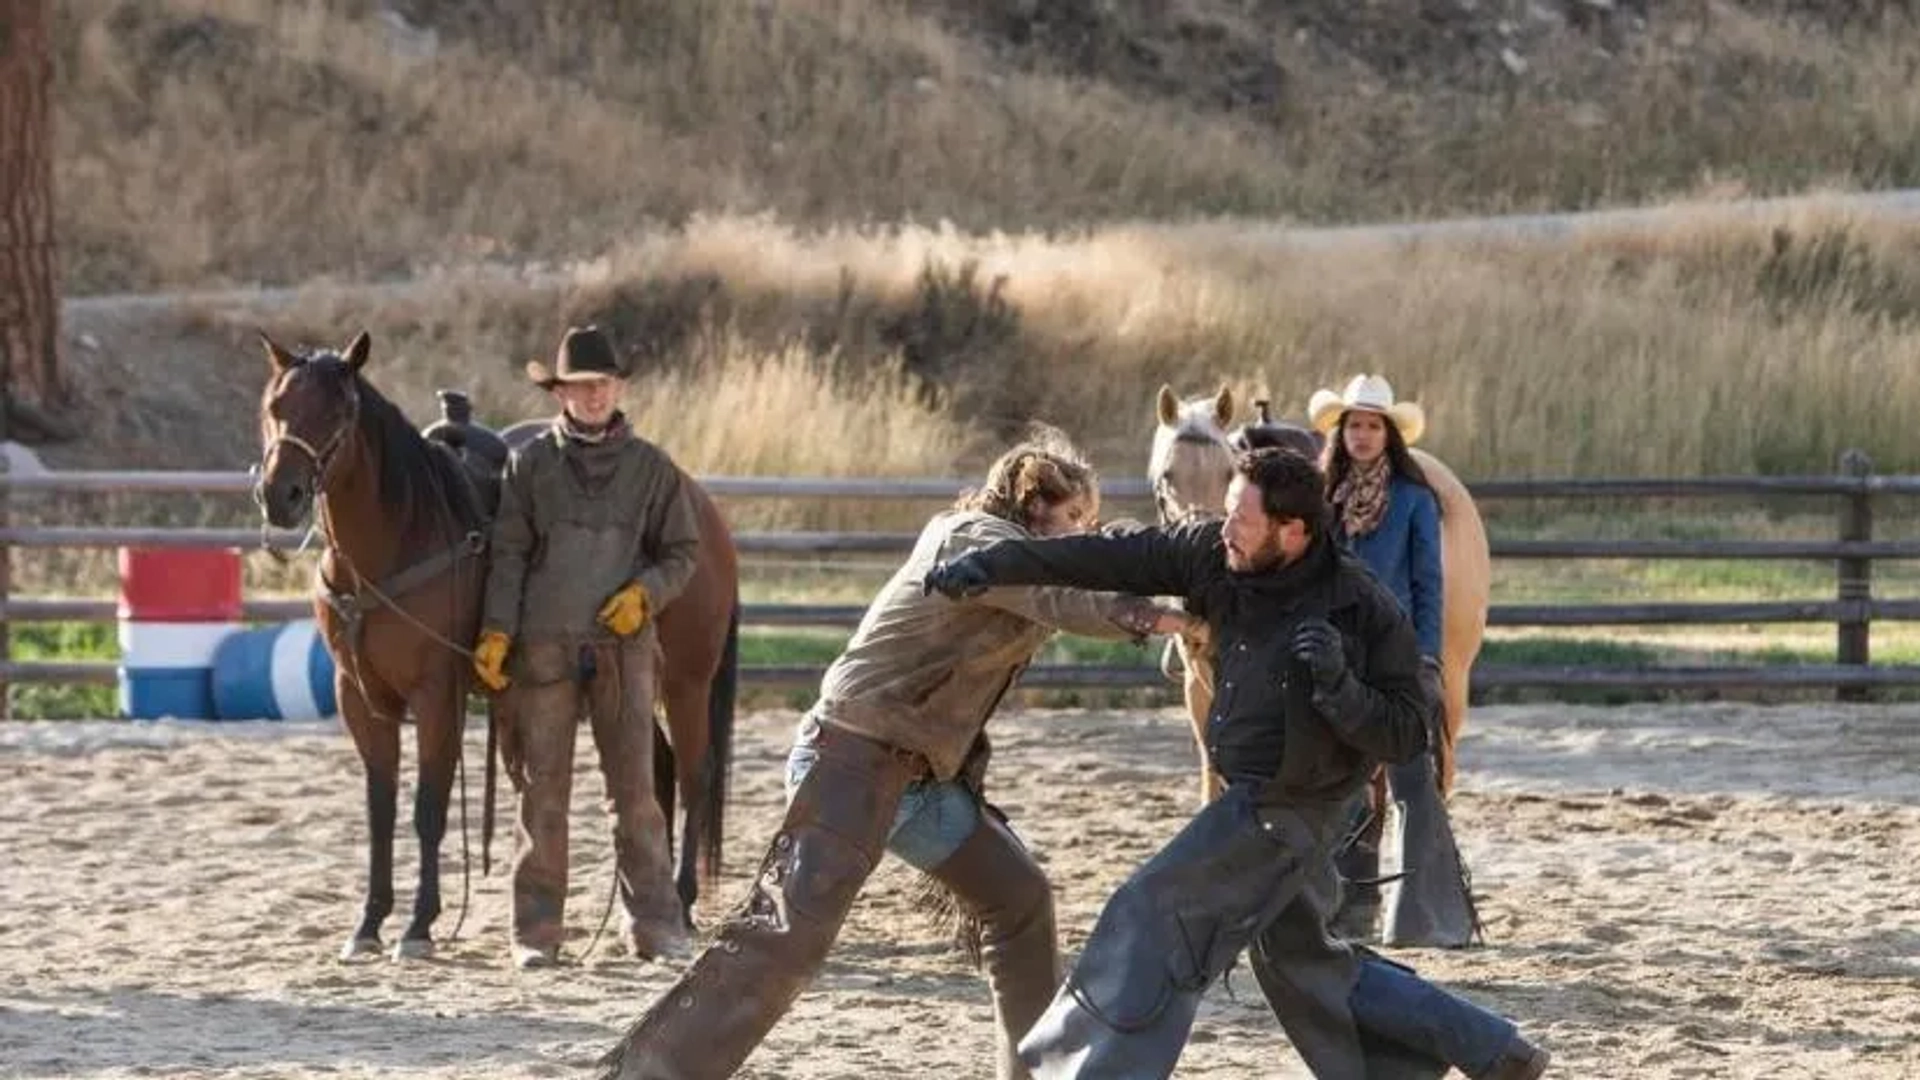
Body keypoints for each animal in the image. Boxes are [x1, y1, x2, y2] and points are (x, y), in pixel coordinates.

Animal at [255, 330, 733, 957]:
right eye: (274, 406)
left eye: (340, 411)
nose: (279, 495)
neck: (394, 544)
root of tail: (704, 509)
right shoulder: (358, 695)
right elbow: (380, 810)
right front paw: (368, 924)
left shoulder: (437, 695)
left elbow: (428, 809)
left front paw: (418, 926)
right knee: (659, 769)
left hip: (685, 681)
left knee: (696, 774)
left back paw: (682, 899)